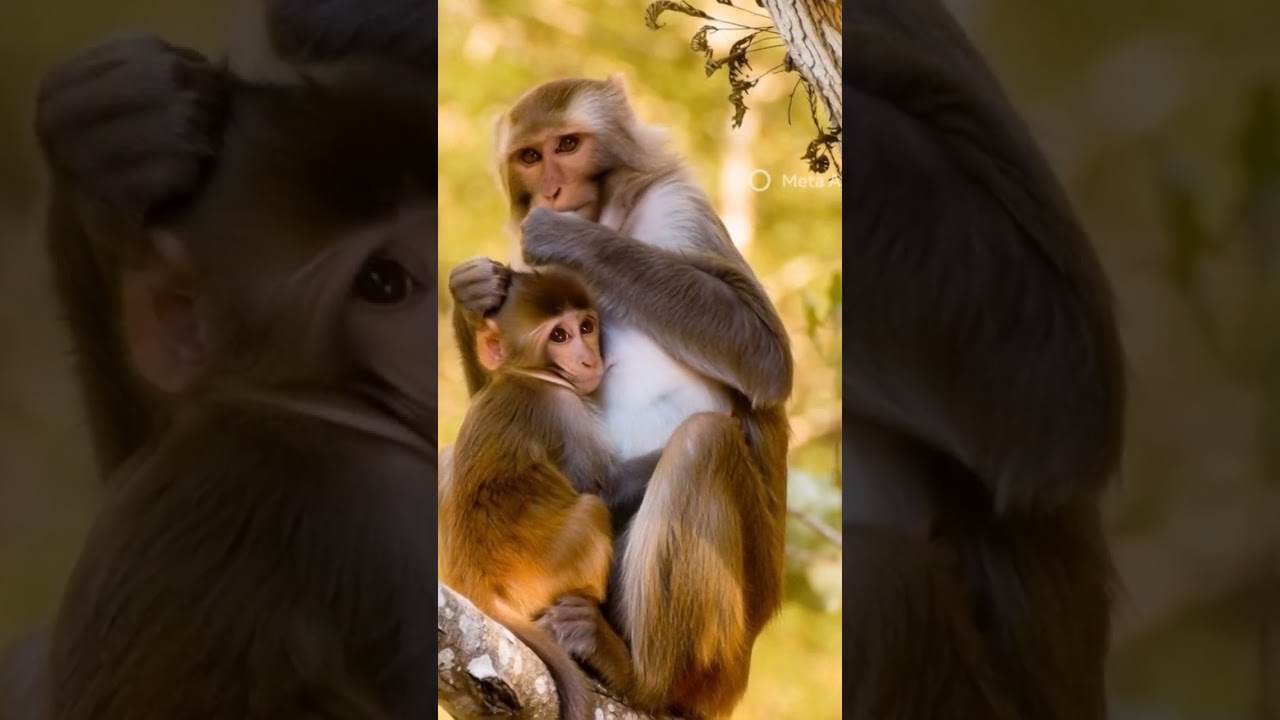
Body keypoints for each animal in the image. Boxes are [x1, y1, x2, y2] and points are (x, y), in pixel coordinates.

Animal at [440, 267, 624, 720]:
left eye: (586, 327)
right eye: (559, 336)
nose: (589, 359)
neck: (528, 374)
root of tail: (479, 587)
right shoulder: (566, 412)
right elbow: (598, 486)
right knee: (592, 509)